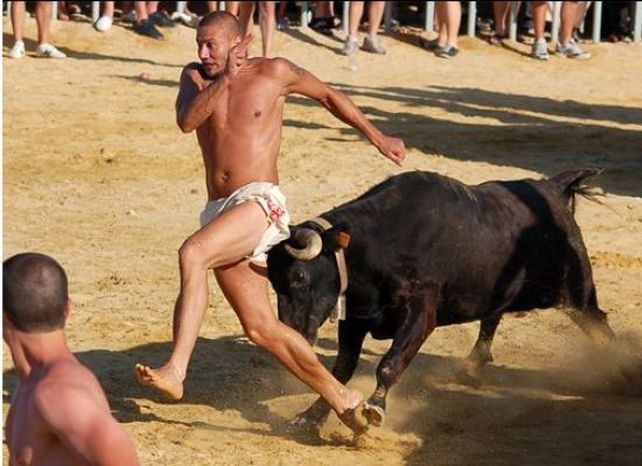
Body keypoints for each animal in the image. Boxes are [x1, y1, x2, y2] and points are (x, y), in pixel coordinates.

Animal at [266, 168, 616, 433]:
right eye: (273, 282)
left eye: (299, 277)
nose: (293, 333)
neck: (379, 242)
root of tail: (552, 188)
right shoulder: (356, 319)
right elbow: (340, 370)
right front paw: (310, 416)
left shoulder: (420, 312)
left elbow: (389, 364)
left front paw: (375, 406)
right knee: (493, 316)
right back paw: (471, 366)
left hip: (574, 291)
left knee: (598, 320)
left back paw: (618, 370)